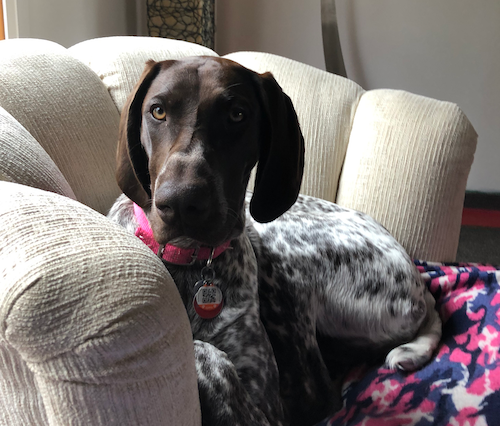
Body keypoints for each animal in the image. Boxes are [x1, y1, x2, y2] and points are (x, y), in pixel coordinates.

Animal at [108, 57, 442, 426]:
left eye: (237, 114)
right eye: (158, 112)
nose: (180, 202)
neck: (191, 262)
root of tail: (417, 281)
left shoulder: (271, 412)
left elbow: (205, 351)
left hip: (284, 251)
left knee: (321, 390)